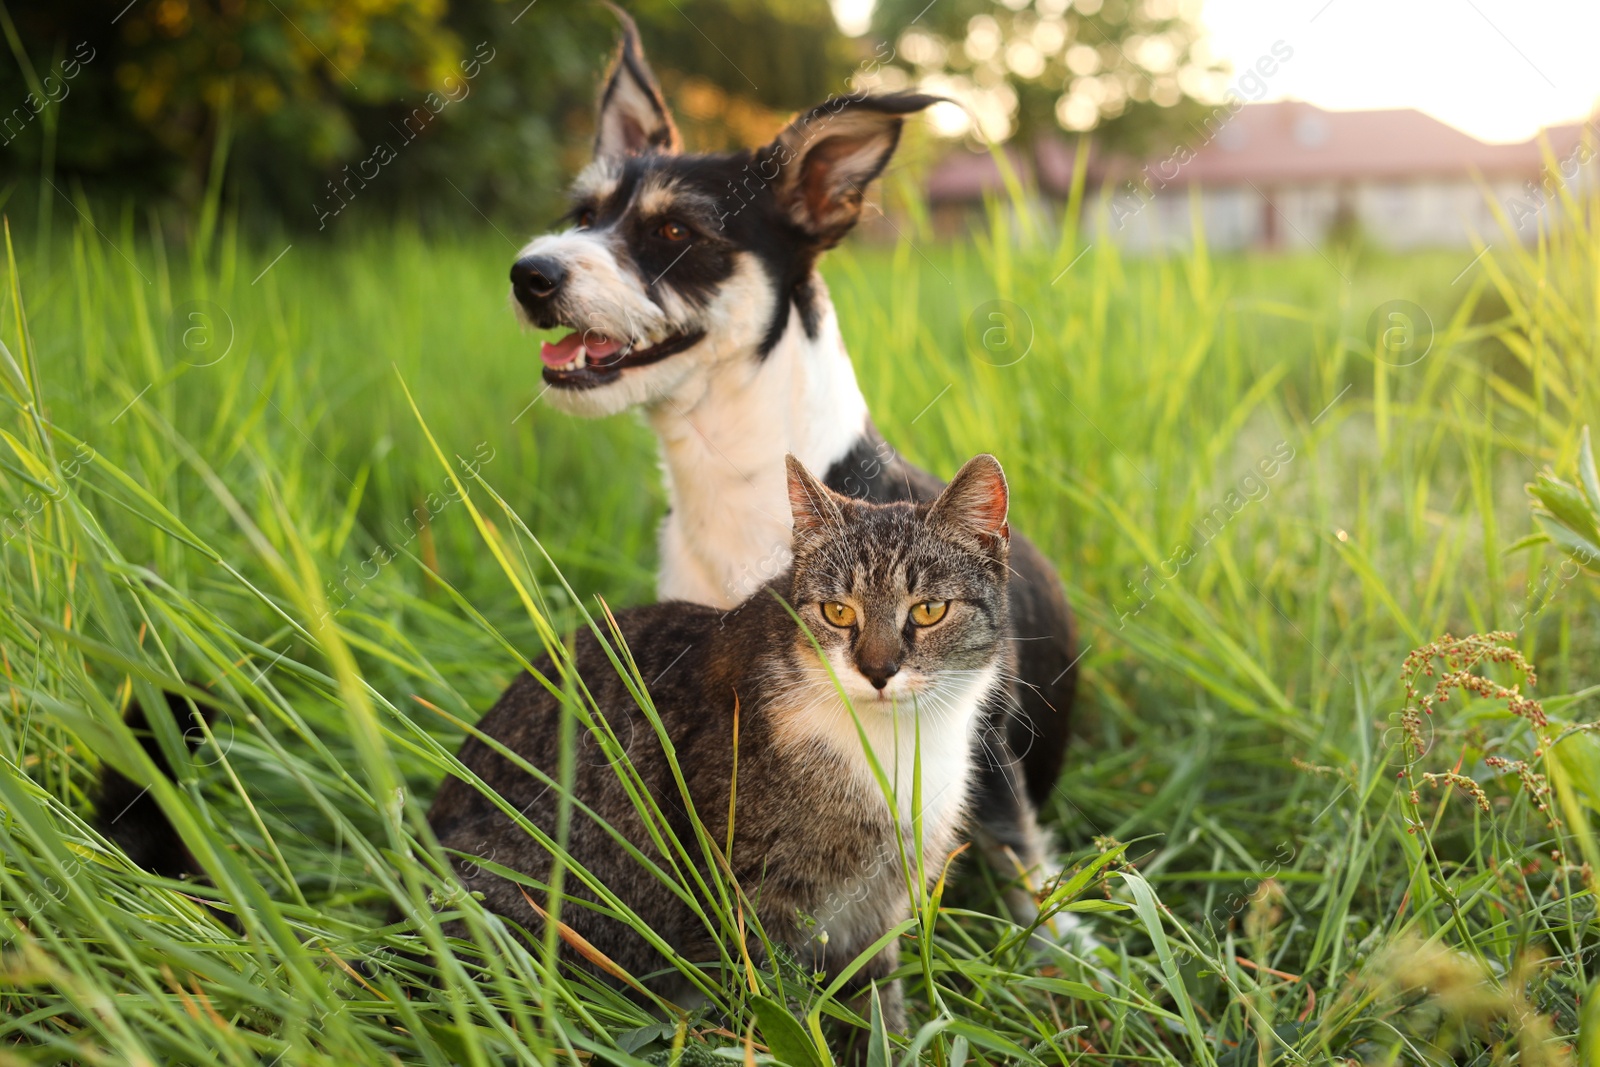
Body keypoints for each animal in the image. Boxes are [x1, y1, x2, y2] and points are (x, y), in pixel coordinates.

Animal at [425, 454, 1011, 1036]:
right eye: (839, 612)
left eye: (929, 610)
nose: (878, 670)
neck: (892, 743)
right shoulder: (748, 898)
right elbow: (767, 1004)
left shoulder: (881, 904)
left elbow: (877, 1008)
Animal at [502, 10, 1075, 921]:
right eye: (583, 212)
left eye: (674, 231)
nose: (530, 274)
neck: (734, 488)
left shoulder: (981, 748)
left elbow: (1023, 870)